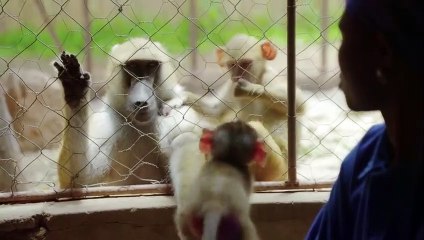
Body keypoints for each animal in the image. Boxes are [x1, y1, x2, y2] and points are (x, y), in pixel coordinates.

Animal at [53, 37, 186, 188]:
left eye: (151, 65)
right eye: (132, 66)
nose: (141, 102)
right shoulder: (107, 119)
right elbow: (80, 179)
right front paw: (75, 87)